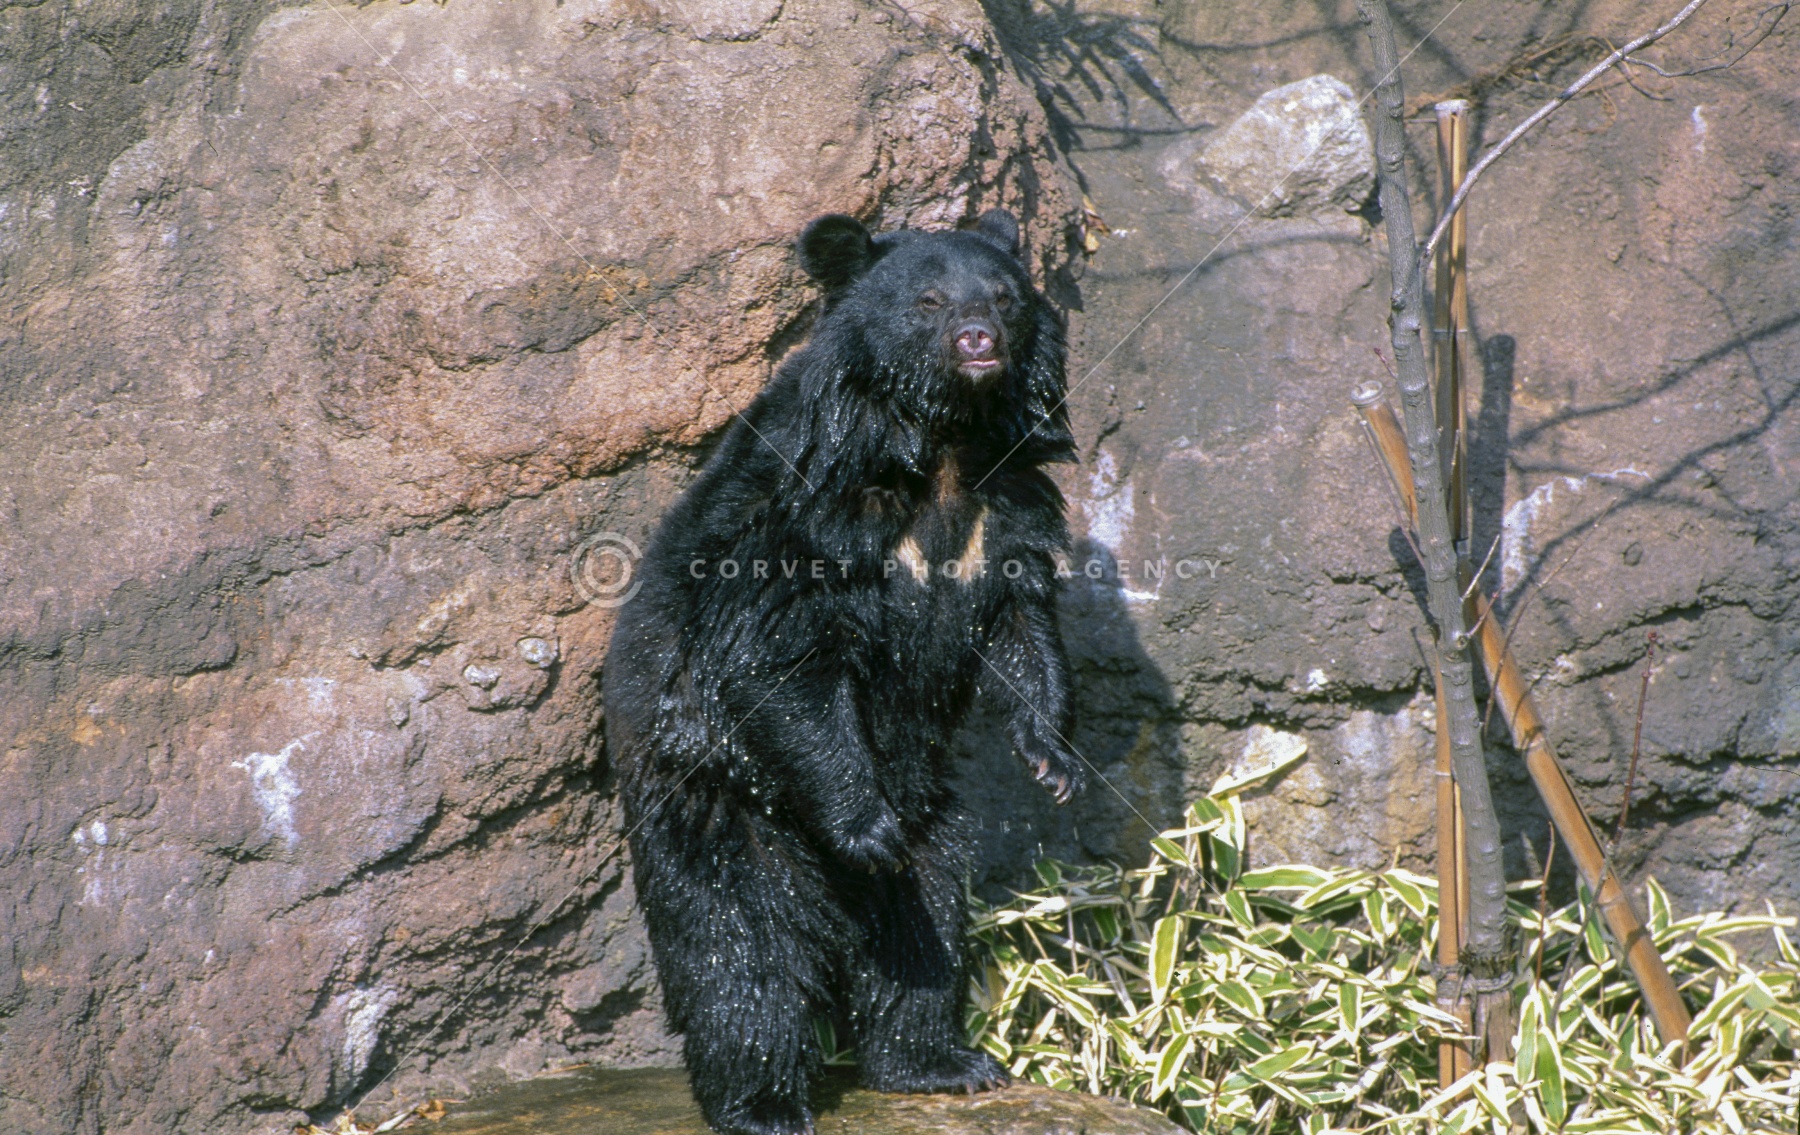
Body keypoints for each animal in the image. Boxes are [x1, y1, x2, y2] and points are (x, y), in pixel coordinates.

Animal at [600, 208, 1086, 1135]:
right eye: (929, 300)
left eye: (1004, 297)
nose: (979, 340)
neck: (939, 442)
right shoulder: (807, 514)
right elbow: (781, 655)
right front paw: (864, 824)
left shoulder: (1007, 506)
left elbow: (1023, 622)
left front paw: (1056, 760)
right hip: (719, 795)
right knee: (738, 947)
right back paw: (763, 1100)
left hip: (929, 810)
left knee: (923, 923)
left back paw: (939, 1060)